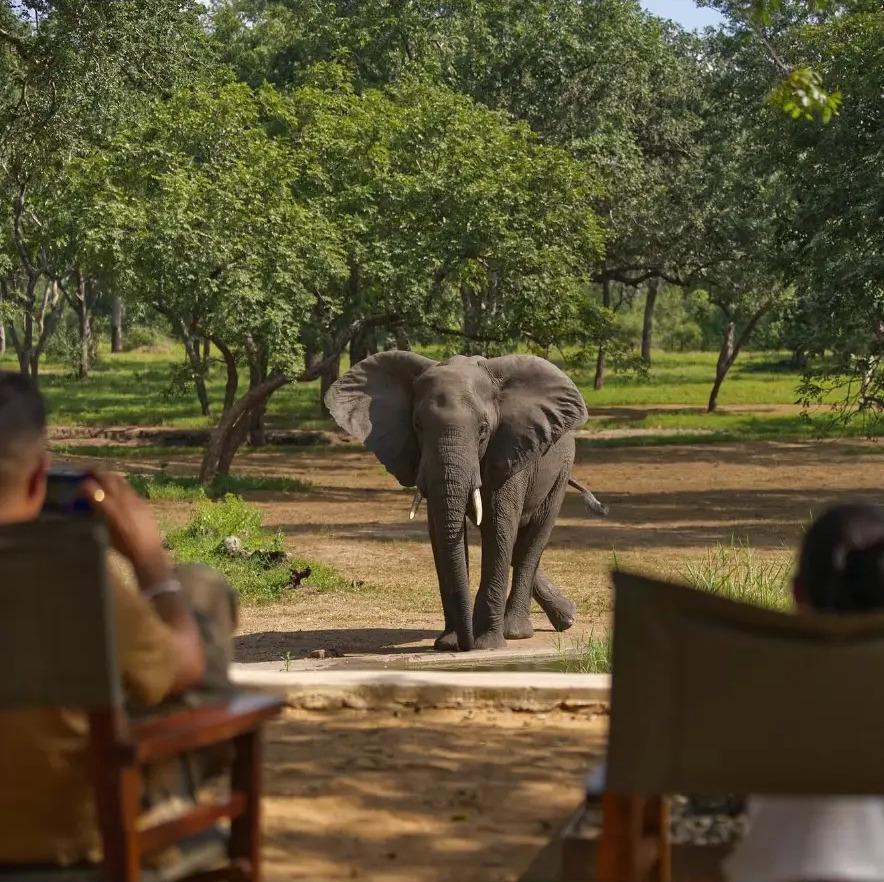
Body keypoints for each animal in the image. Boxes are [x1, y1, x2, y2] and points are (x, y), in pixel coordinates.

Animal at [325, 351, 609, 651]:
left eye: (483, 429)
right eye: (417, 426)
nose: (466, 644)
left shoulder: (509, 450)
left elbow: (499, 527)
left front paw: (487, 645)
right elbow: (442, 531)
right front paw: (449, 644)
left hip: (561, 469)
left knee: (530, 542)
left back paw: (517, 631)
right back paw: (565, 617)